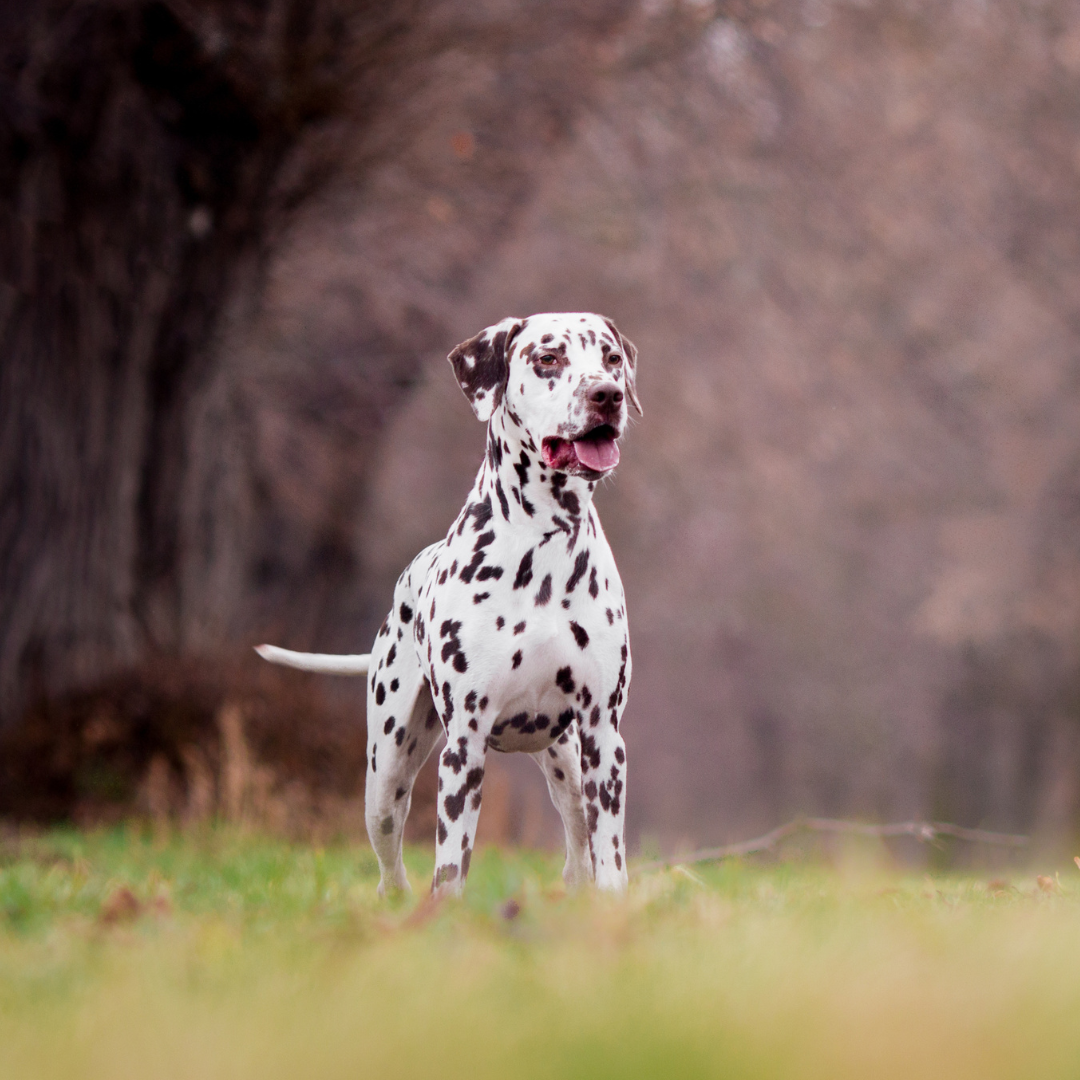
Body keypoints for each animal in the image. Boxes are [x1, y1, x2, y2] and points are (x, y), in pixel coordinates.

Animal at [255, 311, 635, 894]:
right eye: (548, 358)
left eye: (612, 358)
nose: (607, 395)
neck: (543, 542)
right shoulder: (464, 745)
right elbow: (451, 864)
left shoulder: (603, 735)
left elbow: (610, 857)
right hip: (385, 778)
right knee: (390, 869)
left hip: (569, 764)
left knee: (577, 850)